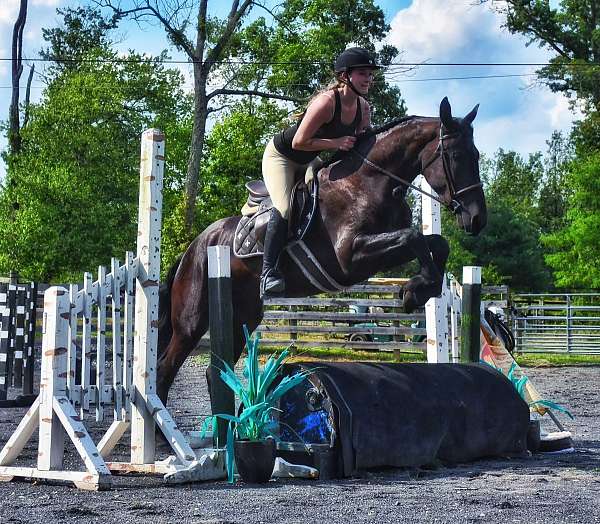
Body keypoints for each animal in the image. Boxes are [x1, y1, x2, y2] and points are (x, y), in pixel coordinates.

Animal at [158, 97, 488, 402]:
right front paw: (413, 292)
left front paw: (420, 289)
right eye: (456, 156)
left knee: (214, 372)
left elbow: (435, 243)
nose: (477, 219)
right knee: (165, 368)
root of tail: (195, 246)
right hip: (191, 322)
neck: (368, 182)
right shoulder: (349, 258)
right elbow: (412, 238)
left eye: (476, 155)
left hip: (243, 316)